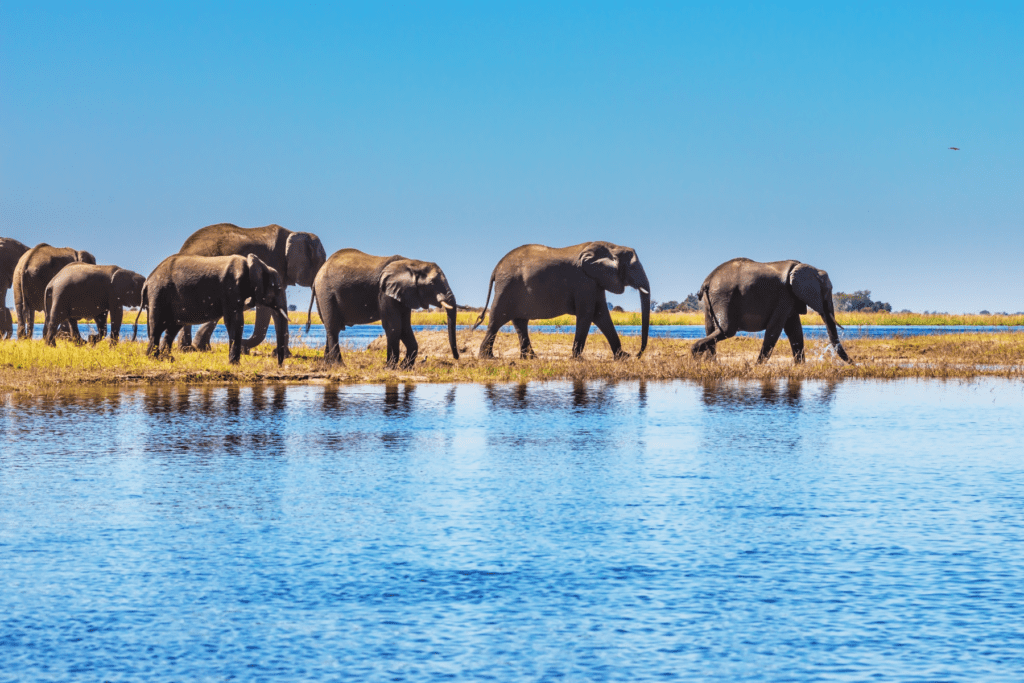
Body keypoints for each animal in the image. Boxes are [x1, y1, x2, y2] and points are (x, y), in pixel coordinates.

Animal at [134, 253, 290, 366]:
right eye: (278, 288)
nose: (279, 365)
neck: (256, 264)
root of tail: (147, 281)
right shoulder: (231, 288)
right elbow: (235, 321)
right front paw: (234, 364)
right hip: (159, 293)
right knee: (158, 327)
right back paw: (153, 359)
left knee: (172, 327)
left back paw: (167, 359)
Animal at [176, 223, 325, 352]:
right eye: (319, 262)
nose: (307, 327)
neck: (293, 233)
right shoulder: (273, 264)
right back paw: (190, 348)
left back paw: (189, 348)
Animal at [309, 249, 458, 368]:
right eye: (432, 283)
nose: (456, 357)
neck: (413, 263)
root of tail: (319, 272)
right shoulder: (384, 293)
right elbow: (394, 327)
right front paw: (390, 367)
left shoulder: (404, 294)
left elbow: (405, 328)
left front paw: (404, 367)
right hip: (326, 292)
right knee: (333, 328)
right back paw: (340, 366)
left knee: (330, 328)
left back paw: (328, 365)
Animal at [471, 241, 647, 360]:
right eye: (633, 267)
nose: (638, 354)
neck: (612, 246)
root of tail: (495, 268)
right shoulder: (584, 281)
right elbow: (588, 314)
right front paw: (577, 359)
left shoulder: (594, 282)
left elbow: (601, 315)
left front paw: (623, 357)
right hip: (506, 287)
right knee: (497, 320)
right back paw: (487, 357)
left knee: (520, 322)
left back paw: (530, 358)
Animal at [688, 258, 856, 362]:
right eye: (827, 291)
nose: (855, 364)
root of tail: (707, 280)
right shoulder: (784, 296)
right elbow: (775, 330)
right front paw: (755, 368)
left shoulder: (790, 298)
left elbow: (795, 331)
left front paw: (800, 368)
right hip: (725, 295)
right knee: (726, 330)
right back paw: (696, 355)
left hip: (711, 301)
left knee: (710, 329)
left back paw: (709, 363)